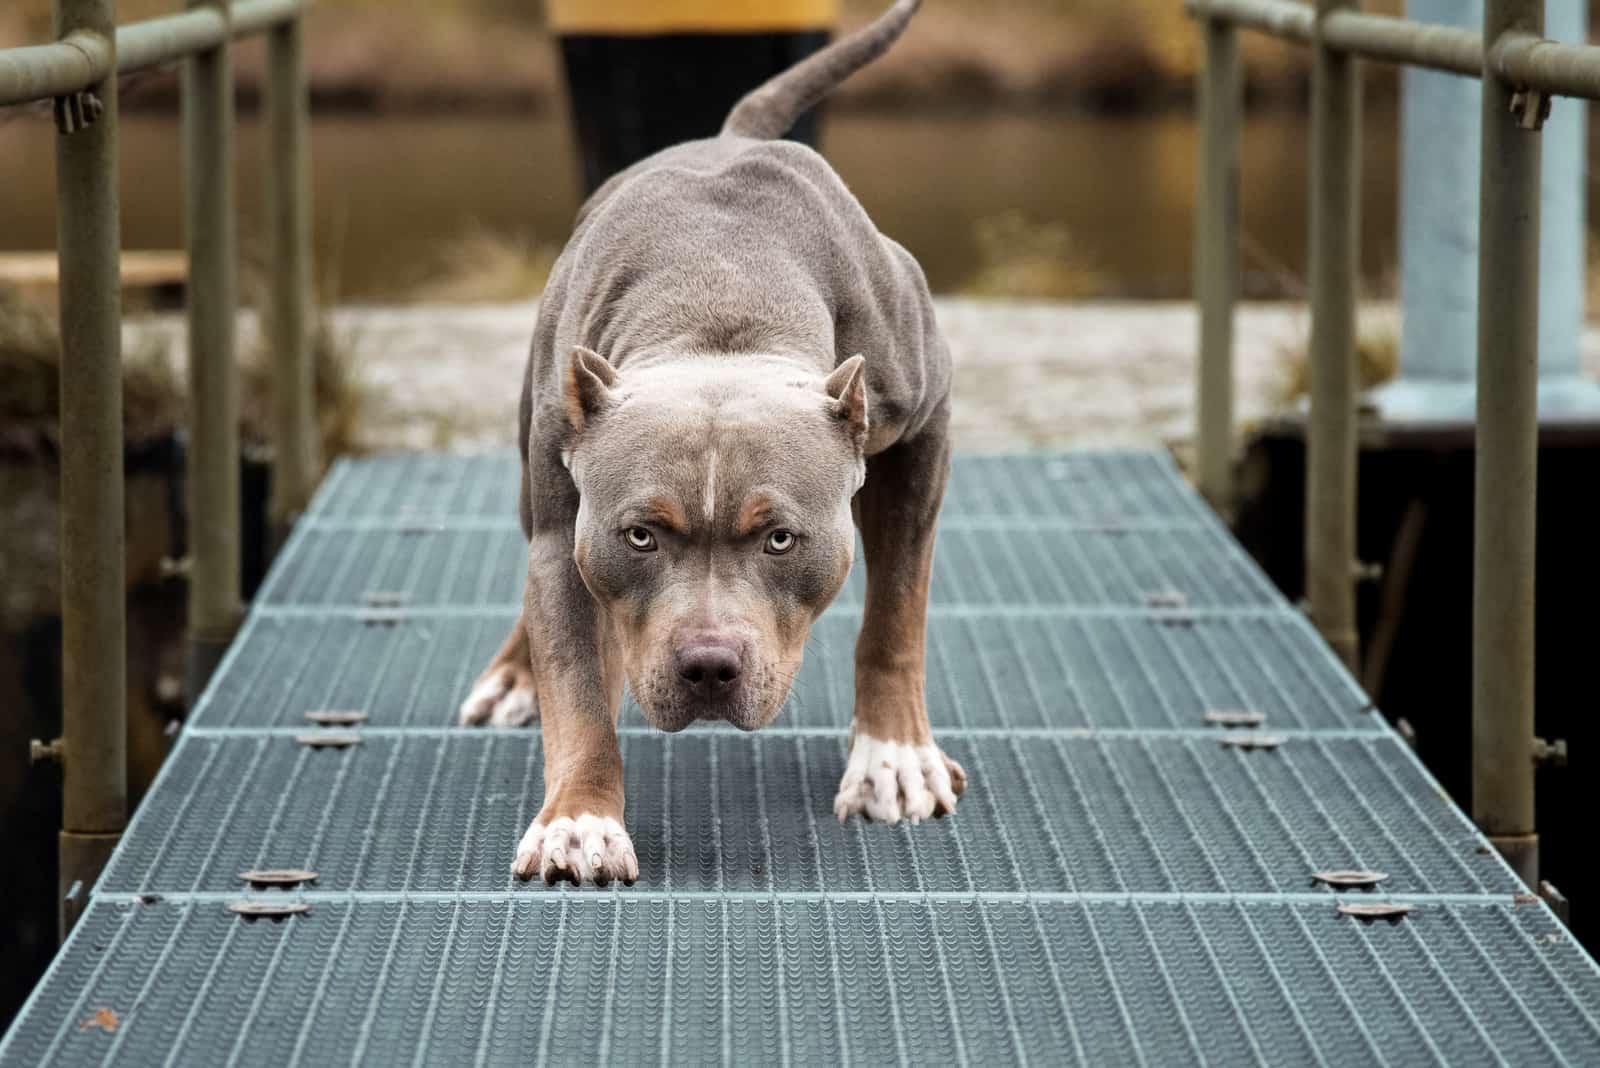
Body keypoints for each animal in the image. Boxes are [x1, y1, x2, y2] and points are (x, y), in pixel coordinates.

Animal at [457, 0, 966, 882]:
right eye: (640, 535)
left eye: (780, 538)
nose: (707, 666)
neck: (721, 300)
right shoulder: (568, 526)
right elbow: (575, 681)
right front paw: (580, 819)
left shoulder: (922, 429)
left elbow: (897, 610)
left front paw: (893, 757)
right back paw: (519, 675)